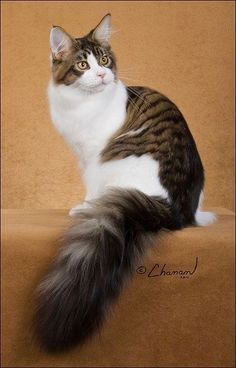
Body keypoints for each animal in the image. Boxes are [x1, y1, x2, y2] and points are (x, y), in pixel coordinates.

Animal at [35, 13, 216, 350]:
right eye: (83, 65)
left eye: (105, 60)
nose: (102, 74)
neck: (81, 104)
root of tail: (174, 210)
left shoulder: (93, 156)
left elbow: (90, 187)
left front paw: (84, 205)